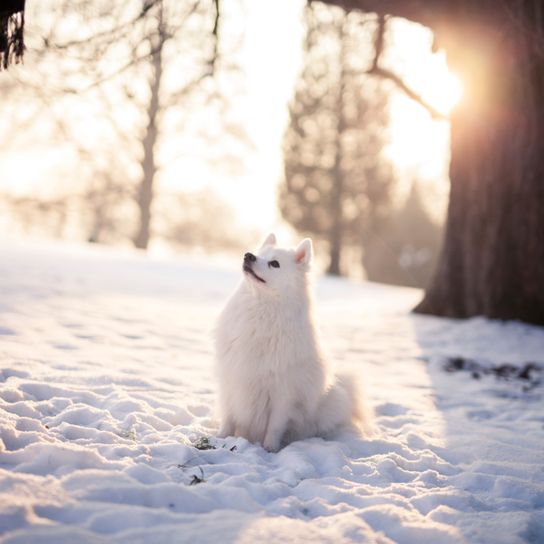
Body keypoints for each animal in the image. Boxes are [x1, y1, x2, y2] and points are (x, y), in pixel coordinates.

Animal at [215, 234, 364, 450]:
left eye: (274, 263)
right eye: (258, 254)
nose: (248, 256)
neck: (261, 312)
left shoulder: (284, 392)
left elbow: (275, 425)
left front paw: (269, 449)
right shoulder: (231, 378)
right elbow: (228, 416)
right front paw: (220, 439)